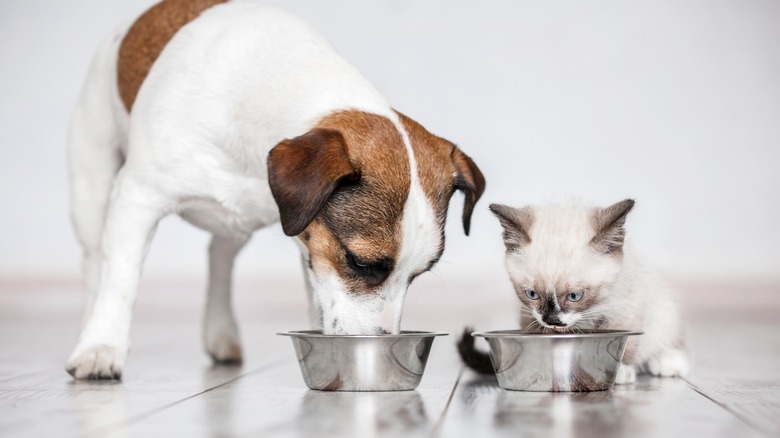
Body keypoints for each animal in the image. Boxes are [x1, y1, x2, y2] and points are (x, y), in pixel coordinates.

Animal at [67, 0, 484, 380]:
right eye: (360, 263)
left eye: (419, 274)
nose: (382, 338)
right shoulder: (138, 197)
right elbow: (120, 279)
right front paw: (102, 346)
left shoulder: (309, 240)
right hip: (93, 186)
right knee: (94, 261)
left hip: (236, 221)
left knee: (219, 256)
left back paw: (221, 331)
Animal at [460, 199, 692, 384]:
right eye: (532, 294)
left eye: (574, 296)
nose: (552, 320)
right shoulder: (528, 315)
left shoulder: (626, 306)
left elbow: (627, 340)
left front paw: (620, 371)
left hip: (663, 308)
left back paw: (668, 361)